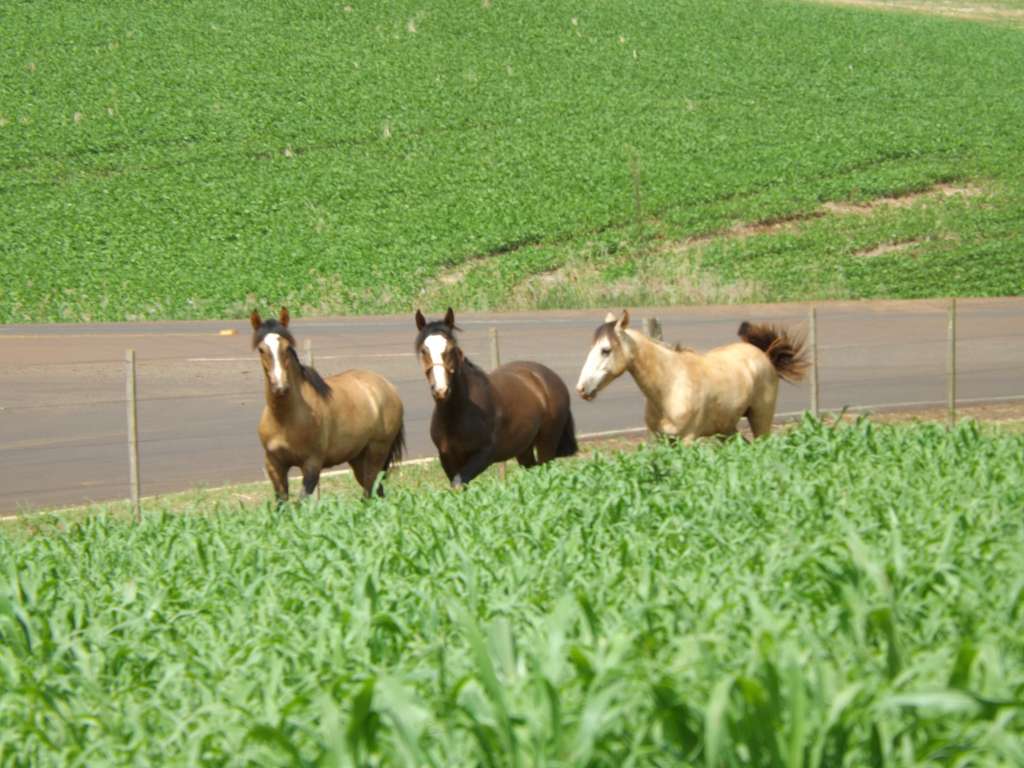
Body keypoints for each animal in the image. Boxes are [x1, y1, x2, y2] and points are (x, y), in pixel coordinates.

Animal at [250, 307, 405, 501]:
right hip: (357, 458)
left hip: (376, 452)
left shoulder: (312, 465)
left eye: (287, 347)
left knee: (369, 491)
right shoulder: (274, 464)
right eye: (261, 349)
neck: (285, 419)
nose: (280, 387)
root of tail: (389, 387)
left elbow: (300, 502)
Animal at [414, 307, 578, 487]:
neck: (458, 414)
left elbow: (458, 484)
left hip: (546, 444)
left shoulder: (483, 456)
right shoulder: (447, 459)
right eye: (424, 350)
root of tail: (550, 378)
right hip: (524, 449)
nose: (441, 390)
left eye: (451, 349)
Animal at [575, 310, 807, 441]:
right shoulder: (661, 440)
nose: (581, 388)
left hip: (761, 419)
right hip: (726, 429)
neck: (670, 385)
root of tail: (765, 355)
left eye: (605, 350)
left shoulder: (687, 439)